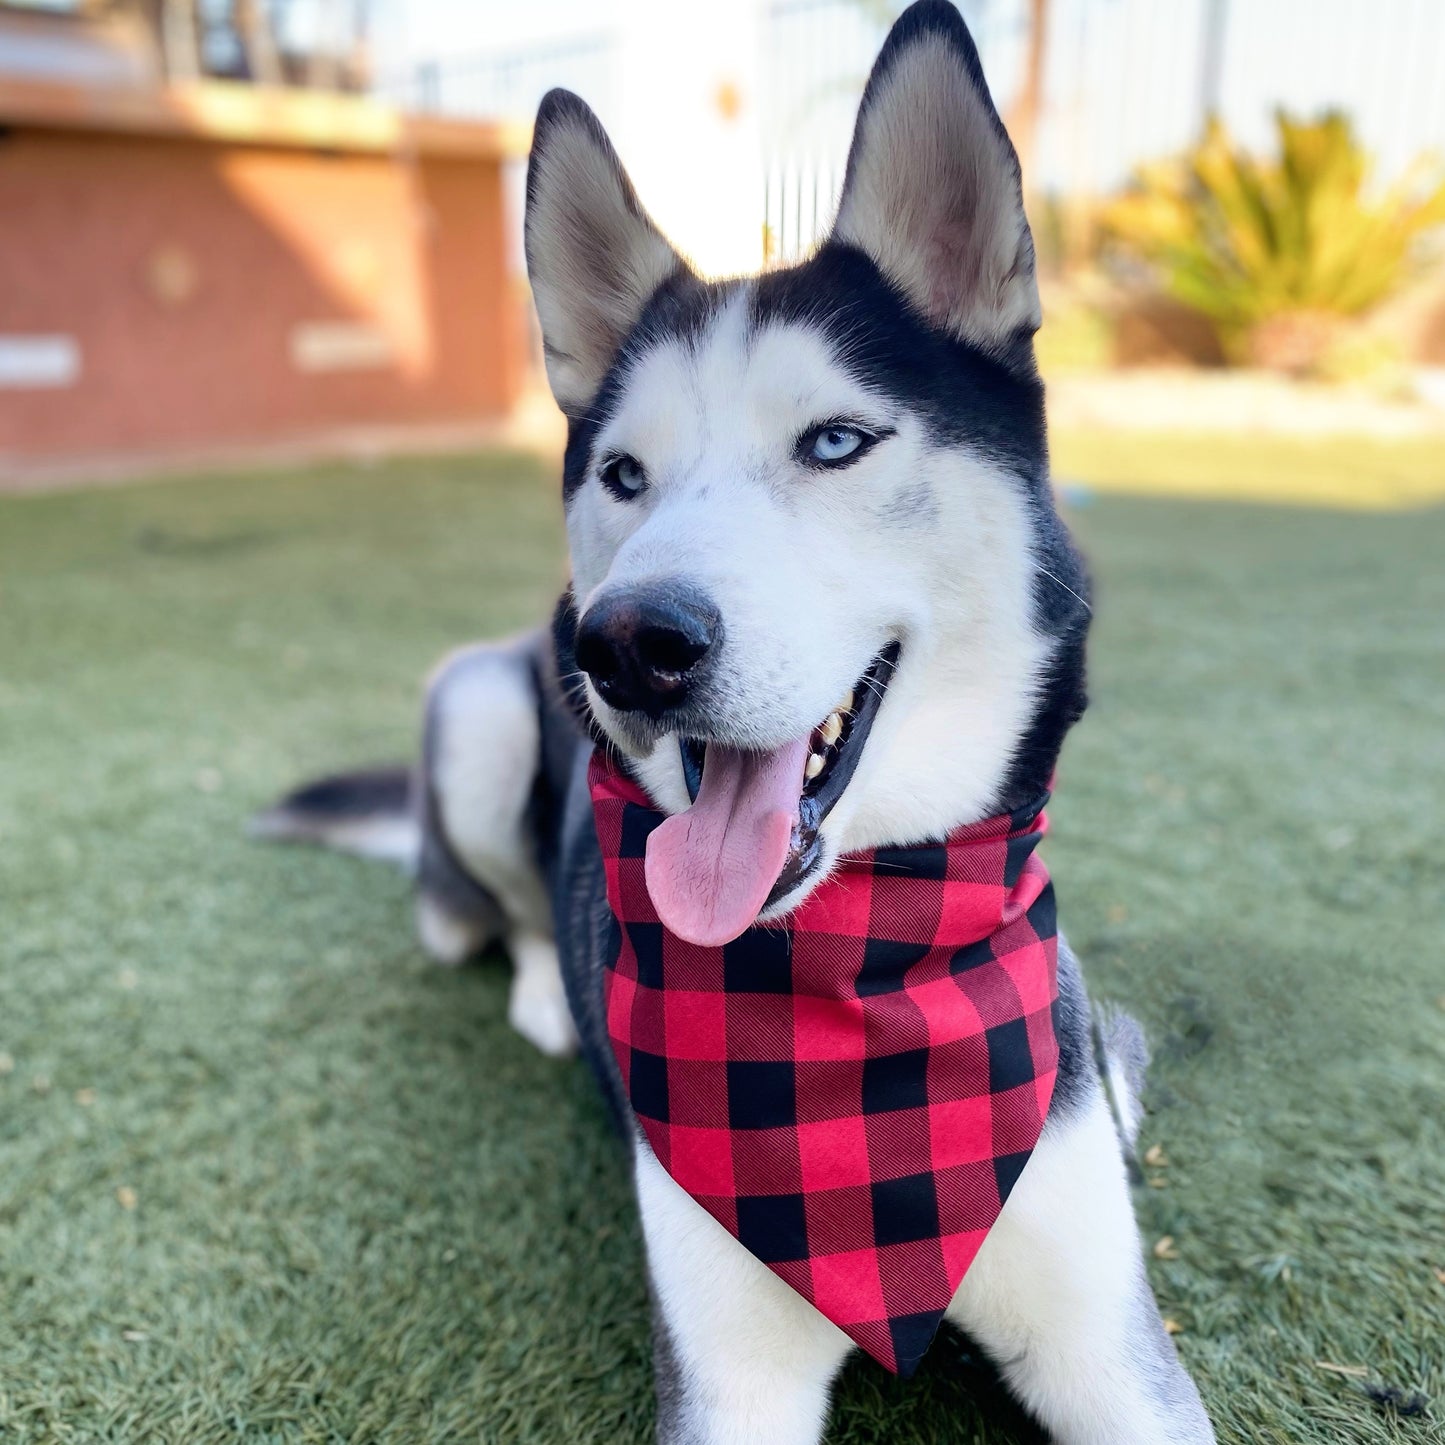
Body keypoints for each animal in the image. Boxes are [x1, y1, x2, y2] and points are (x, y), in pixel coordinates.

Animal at [254, 5, 1213, 1439]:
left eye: (835, 441)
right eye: (622, 475)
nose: (624, 646)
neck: (857, 971)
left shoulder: (1111, 1347)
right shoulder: (728, 1376)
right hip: (475, 705)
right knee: (503, 908)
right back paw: (544, 995)